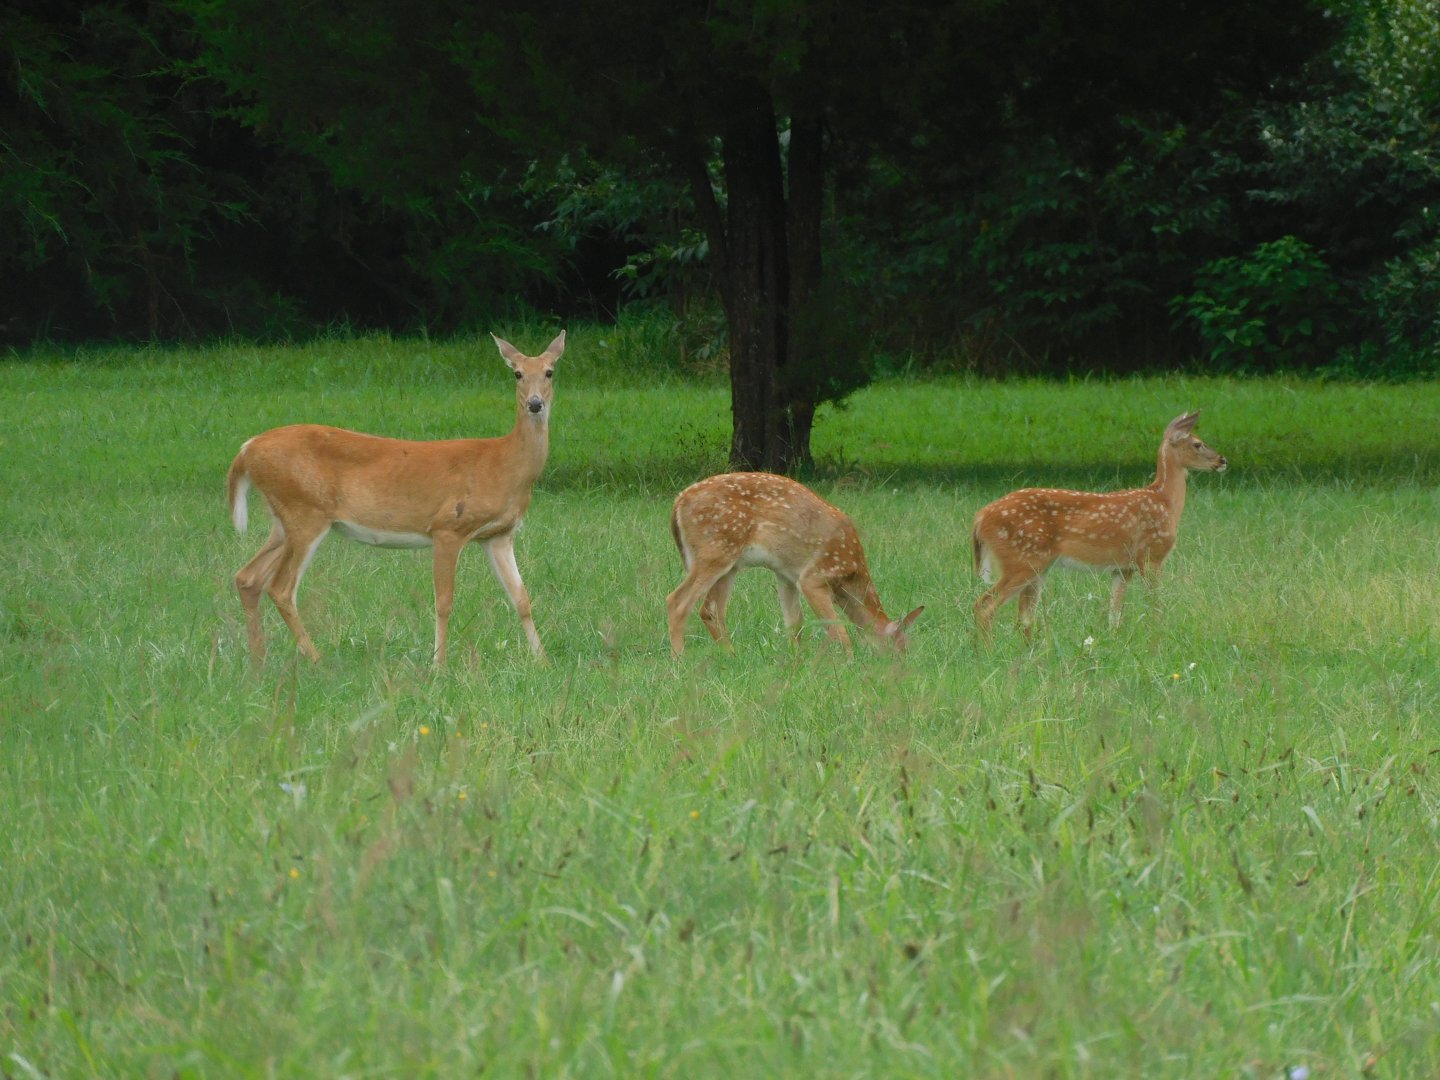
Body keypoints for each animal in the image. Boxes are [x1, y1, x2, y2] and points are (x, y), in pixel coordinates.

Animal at [226, 330, 565, 667]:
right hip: (305, 511)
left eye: (549, 371)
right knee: (281, 588)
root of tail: (246, 449)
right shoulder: (448, 527)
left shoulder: (498, 535)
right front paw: (438, 665)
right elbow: (444, 601)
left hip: (283, 518)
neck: (504, 465)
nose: (535, 404)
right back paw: (315, 658)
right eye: (517, 373)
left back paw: (258, 661)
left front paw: (543, 662)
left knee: (248, 577)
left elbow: (521, 598)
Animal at [666, 472, 923, 657]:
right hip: (715, 553)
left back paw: (731, 656)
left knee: (711, 609)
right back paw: (680, 660)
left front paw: (796, 661)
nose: (900, 670)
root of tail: (678, 502)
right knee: (678, 601)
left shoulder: (786, 575)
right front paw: (848, 663)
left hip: (728, 563)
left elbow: (794, 623)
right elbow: (837, 629)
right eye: (900, 647)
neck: (849, 577)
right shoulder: (813, 577)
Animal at [971, 411, 1227, 640]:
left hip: (1037, 566)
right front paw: (1158, 636)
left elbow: (1114, 613)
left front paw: (1114, 642)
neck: (1166, 502)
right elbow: (1155, 603)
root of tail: (981, 517)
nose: (1222, 460)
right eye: (1197, 444)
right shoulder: (1151, 555)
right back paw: (987, 650)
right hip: (1021, 560)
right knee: (985, 605)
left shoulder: (1123, 567)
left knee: (1022, 615)